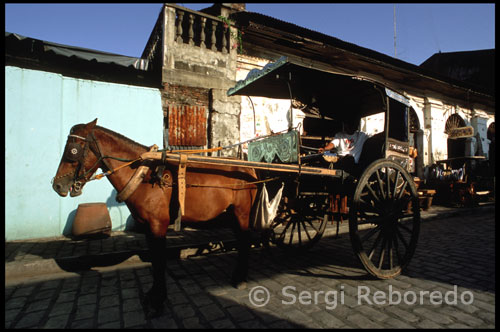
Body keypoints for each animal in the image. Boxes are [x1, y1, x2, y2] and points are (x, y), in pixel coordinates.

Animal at [52, 118, 258, 316]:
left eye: (73, 150)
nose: (57, 185)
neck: (144, 175)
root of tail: (249, 169)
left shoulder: (158, 225)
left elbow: (159, 261)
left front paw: (158, 302)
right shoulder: (148, 228)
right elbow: (153, 259)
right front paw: (153, 295)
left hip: (242, 212)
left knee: (245, 240)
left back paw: (240, 278)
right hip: (232, 214)